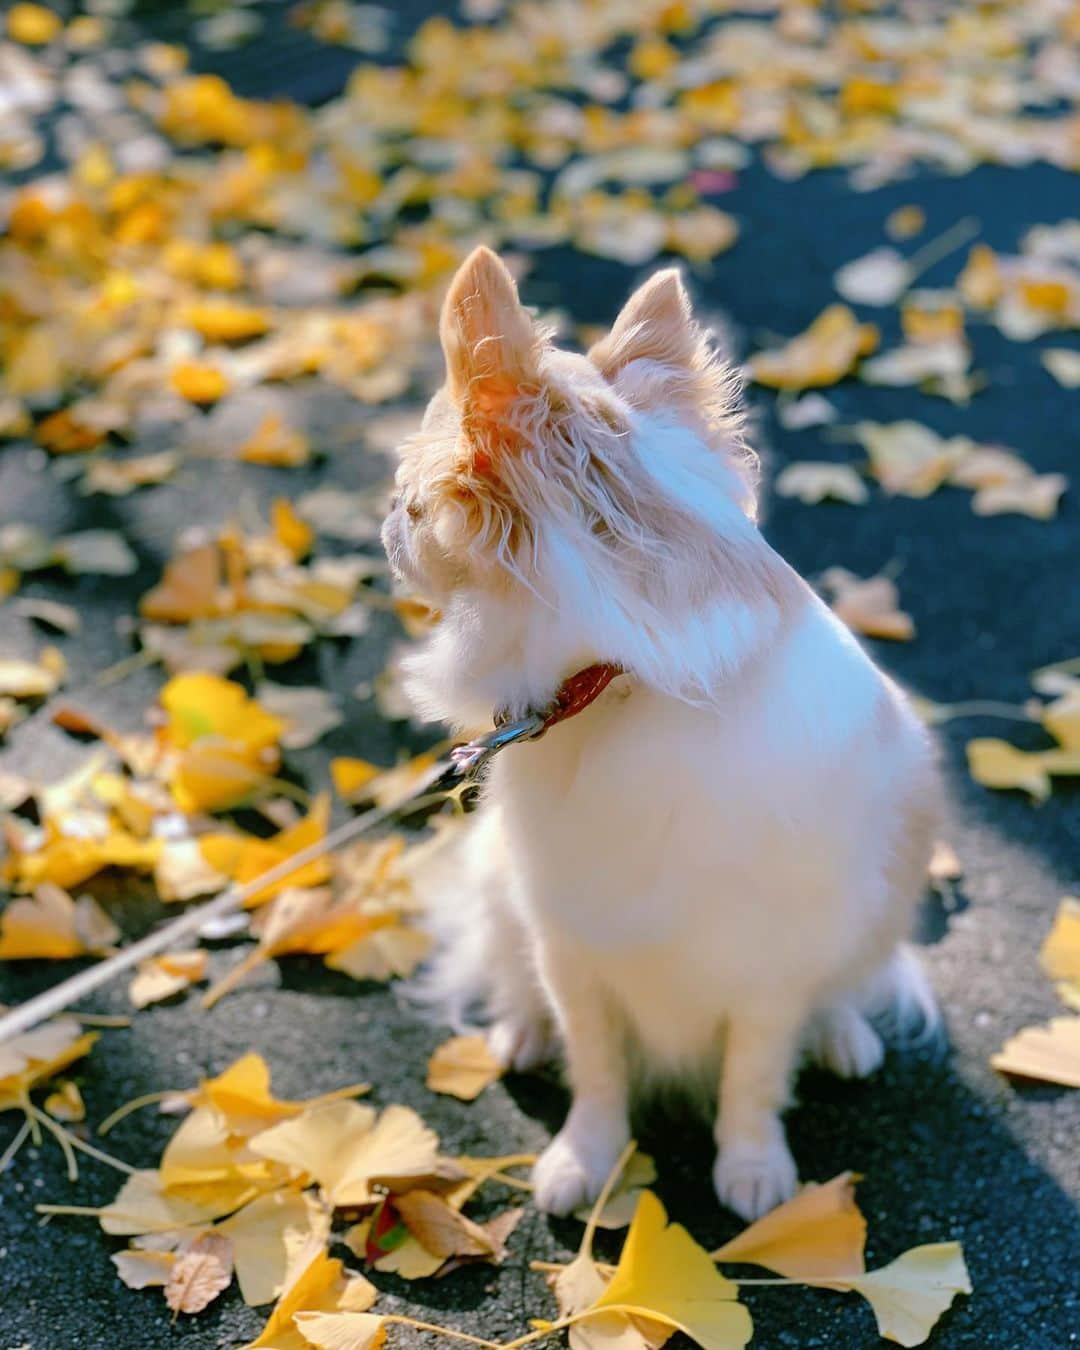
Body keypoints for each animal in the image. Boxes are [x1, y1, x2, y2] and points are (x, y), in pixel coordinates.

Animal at [383, 245, 939, 1225]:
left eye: (412, 512)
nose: (382, 522)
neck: (621, 692)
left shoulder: (769, 970)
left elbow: (753, 1074)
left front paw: (753, 1168)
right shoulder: (571, 944)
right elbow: (597, 1064)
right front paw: (585, 1157)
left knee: (848, 981)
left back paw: (841, 1032)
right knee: (509, 967)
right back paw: (519, 1028)